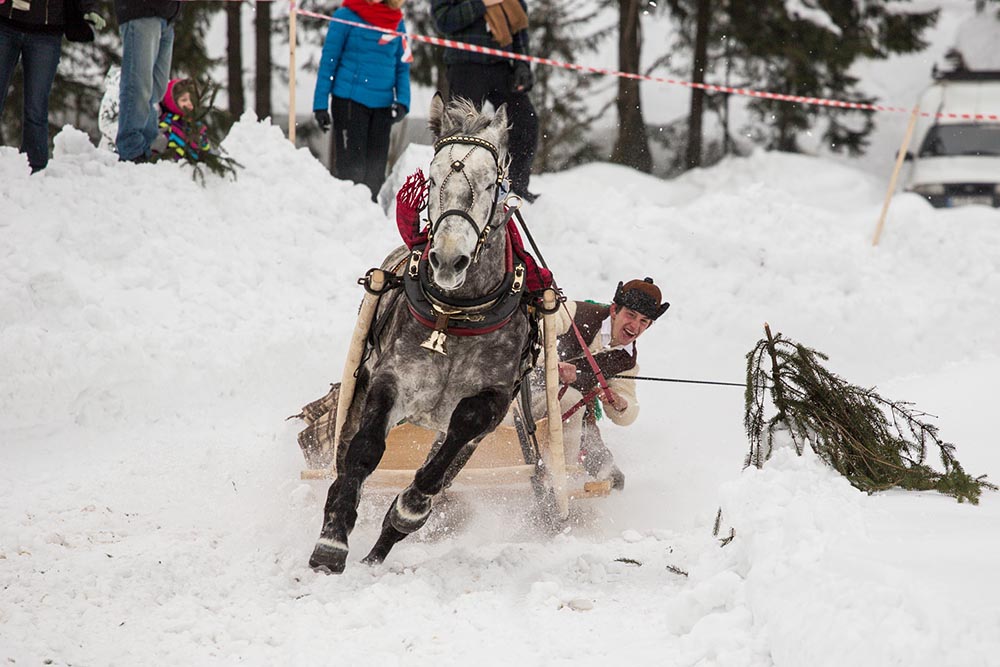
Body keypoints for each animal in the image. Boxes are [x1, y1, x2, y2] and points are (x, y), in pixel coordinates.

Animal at [308, 94, 536, 576]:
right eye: (431, 177)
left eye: (490, 184)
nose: (448, 259)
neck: (456, 314)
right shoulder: (390, 379)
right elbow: (364, 451)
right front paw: (332, 542)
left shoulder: (491, 405)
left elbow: (441, 463)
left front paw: (406, 512)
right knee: (344, 453)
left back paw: (382, 547)